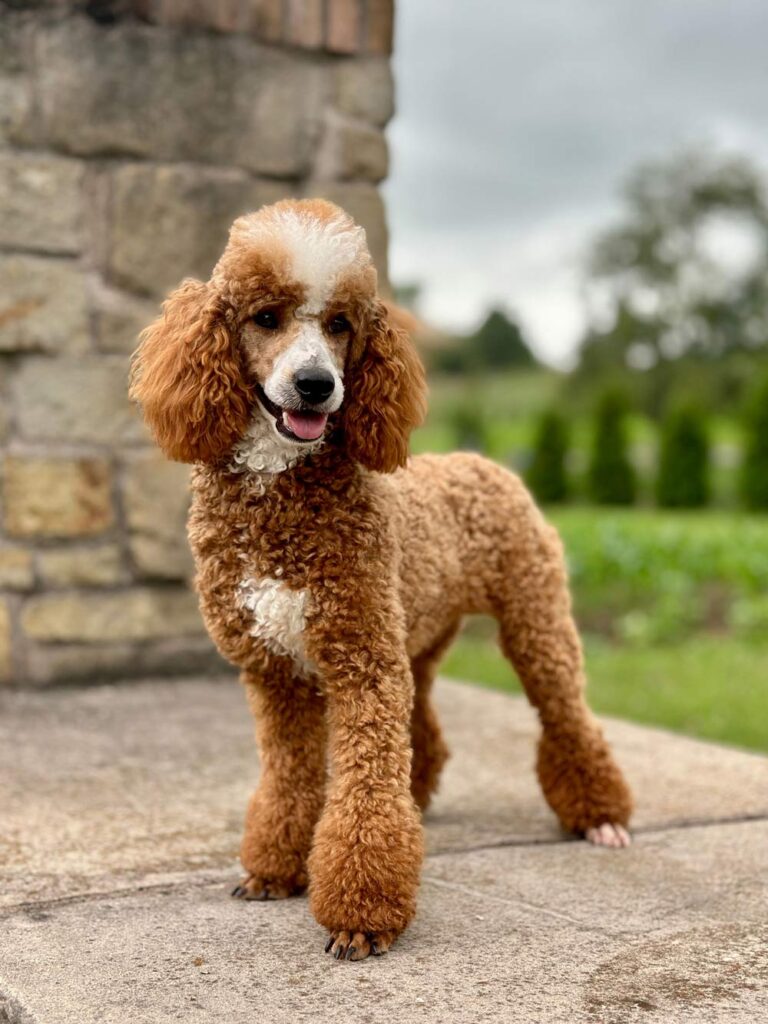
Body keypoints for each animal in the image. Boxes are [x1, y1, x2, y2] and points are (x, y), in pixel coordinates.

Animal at [130, 198, 633, 962]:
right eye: (266, 316)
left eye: (341, 324)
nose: (317, 384)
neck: (282, 502)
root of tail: (487, 463)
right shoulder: (276, 673)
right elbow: (290, 777)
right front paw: (277, 867)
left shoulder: (363, 664)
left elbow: (366, 785)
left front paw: (361, 912)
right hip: (417, 641)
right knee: (426, 733)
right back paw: (419, 802)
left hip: (534, 623)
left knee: (567, 715)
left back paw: (601, 818)